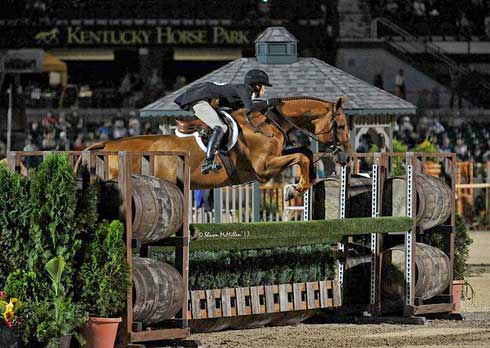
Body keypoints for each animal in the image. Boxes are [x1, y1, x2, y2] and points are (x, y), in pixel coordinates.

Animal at [78, 96, 350, 197]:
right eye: (341, 125)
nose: (346, 158)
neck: (267, 122)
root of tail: (108, 143)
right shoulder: (264, 168)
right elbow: (302, 157)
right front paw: (296, 188)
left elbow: (305, 153)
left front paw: (311, 181)